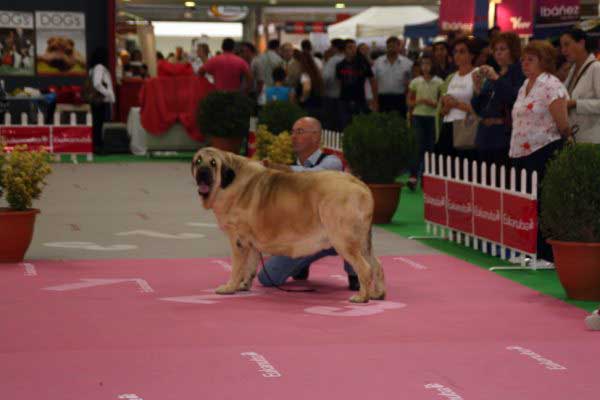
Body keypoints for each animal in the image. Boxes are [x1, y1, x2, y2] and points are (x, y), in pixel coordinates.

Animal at [195, 147, 386, 304]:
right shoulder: (251, 242)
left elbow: (237, 267)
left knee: (365, 268)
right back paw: (378, 294)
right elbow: (250, 266)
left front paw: (229, 287)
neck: (230, 181)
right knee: (376, 265)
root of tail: (360, 184)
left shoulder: (238, 241)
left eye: (213, 163)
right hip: (363, 241)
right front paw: (244, 285)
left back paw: (361, 296)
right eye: (197, 161)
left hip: (343, 240)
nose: (202, 172)